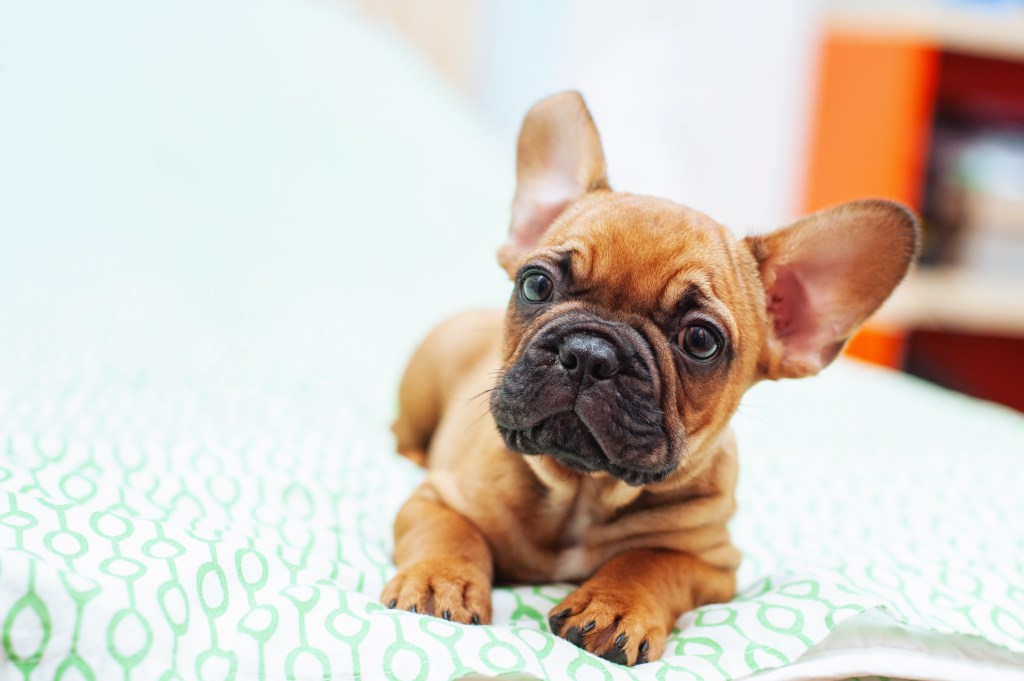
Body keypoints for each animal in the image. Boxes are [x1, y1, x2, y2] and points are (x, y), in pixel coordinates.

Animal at [378, 90, 921, 663]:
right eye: (536, 284)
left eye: (701, 340)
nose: (589, 353)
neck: (585, 490)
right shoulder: (436, 497)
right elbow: (450, 534)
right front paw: (439, 582)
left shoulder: (712, 563)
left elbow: (649, 562)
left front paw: (614, 606)